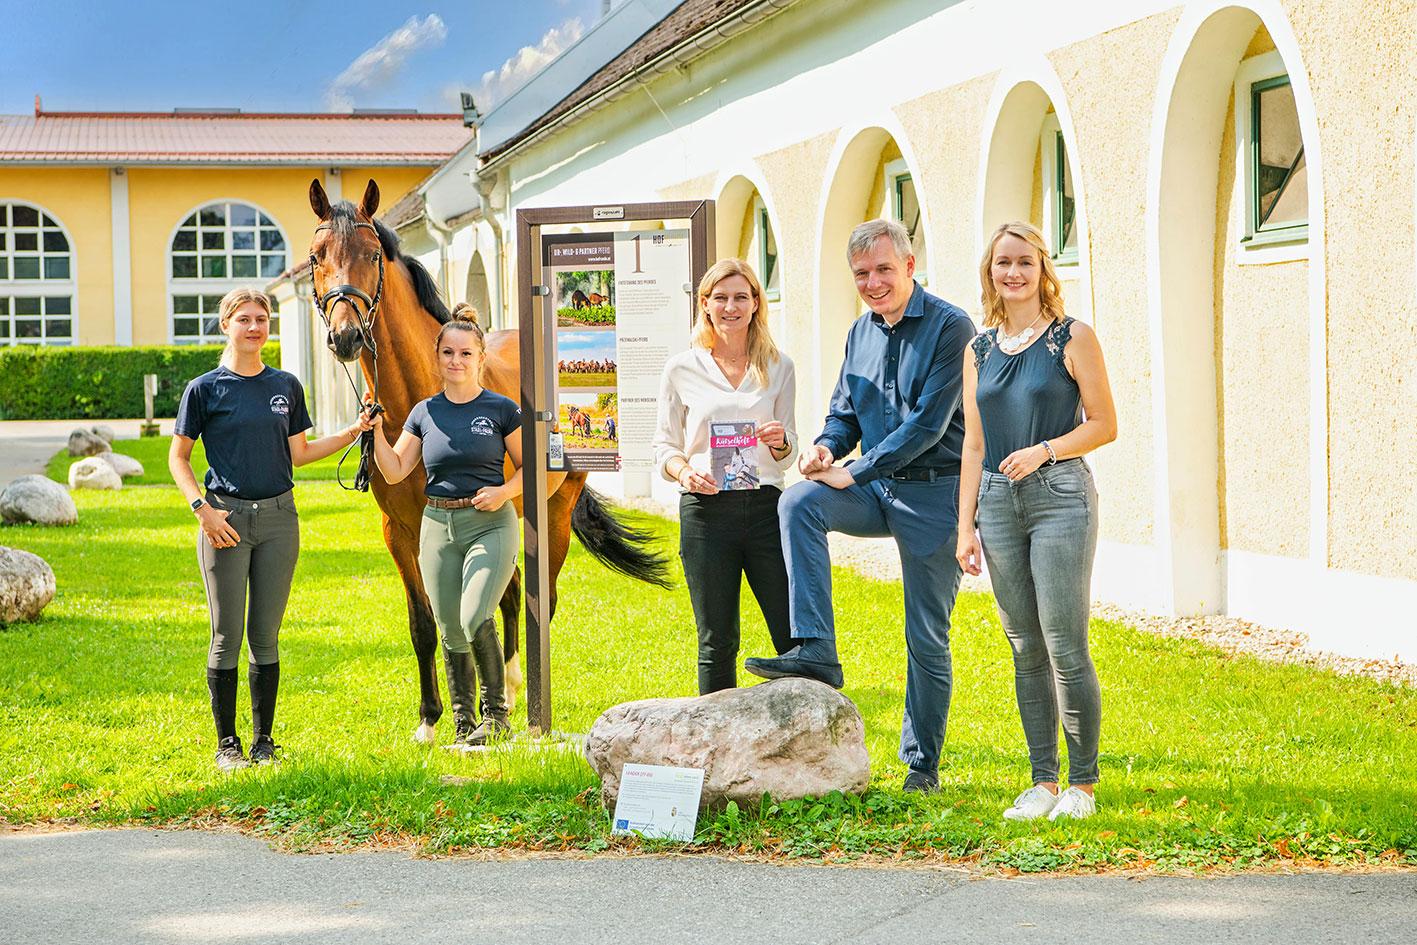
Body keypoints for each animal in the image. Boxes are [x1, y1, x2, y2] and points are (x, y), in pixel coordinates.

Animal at [304, 177, 668, 736]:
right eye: (316, 256)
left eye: (371, 253)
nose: (346, 335)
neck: (421, 398)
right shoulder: (400, 532)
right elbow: (425, 622)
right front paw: (432, 719)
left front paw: (473, 716)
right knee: (512, 592)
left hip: (552, 512)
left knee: (541, 598)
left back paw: (526, 697)